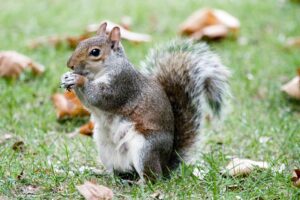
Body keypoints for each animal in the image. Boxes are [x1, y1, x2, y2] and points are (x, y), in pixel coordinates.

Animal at [61, 21, 230, 181]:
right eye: (80, 43)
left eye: (95, 52)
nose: (70, 64)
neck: (101, 72)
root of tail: (165, 165)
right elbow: (89, 103)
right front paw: (66, 77)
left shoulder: (121, 84)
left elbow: (99, 97)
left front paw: (78, 79)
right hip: (105, 148)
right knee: (115, 172)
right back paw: (99, 172)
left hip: (145, 148)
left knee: (153, 178)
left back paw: (138, 182)